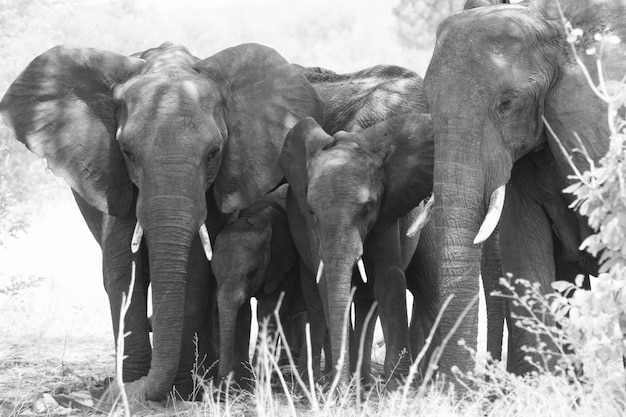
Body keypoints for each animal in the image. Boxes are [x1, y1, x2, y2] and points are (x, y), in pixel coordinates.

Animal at [210, 184, 300, 382]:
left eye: (252, 272)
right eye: (214, 274)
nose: (221, 381)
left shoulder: (283, 262)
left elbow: (269, 310)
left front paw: (258, 377)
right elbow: (243, 315)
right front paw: (244, 380)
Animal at [280, 113, 434, 384]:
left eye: (367, 208)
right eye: (312, 212)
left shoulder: (387, 213)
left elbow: (389, 280)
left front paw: (396, 384)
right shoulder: (311, 229)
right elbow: (325, 284)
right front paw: (343, 386)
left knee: (367, 306)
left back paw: (364, 381)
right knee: (316, 304)